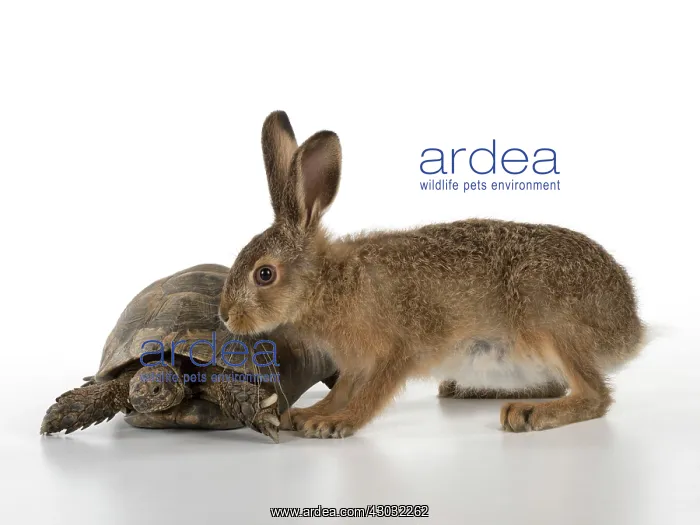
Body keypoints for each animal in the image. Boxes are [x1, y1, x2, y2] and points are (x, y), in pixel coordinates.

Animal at [219, 110, 645, 439]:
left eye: (265, 274)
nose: (225, 316)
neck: (329, 283)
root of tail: (631, 326)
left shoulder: (398, 350)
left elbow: (371, 395)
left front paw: (335, 423)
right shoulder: (356, 364)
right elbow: (342, 390)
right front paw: (307, 414)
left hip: (550, 320)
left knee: (595, 396)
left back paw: (526, 413)